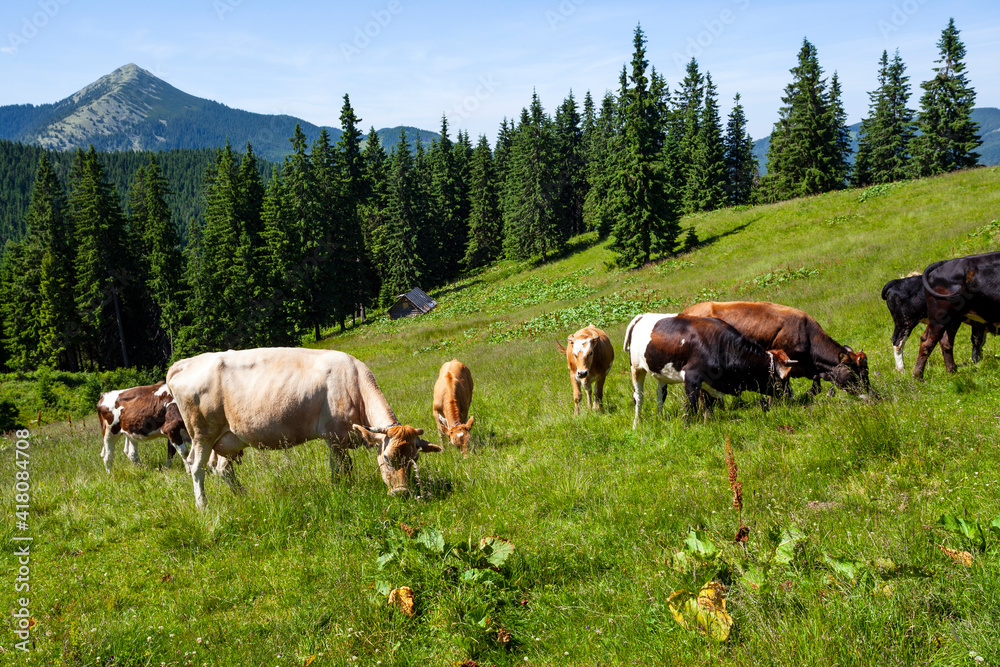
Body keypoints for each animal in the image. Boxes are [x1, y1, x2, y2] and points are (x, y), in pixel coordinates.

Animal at [166, 348, 440, 508]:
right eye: (387, 457)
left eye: (414, 459)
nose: (401, 493)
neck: (354, 383)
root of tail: (186, 363)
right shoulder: (334, 435)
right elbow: (341, 467)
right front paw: (342, 490)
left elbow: (342, 466)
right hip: (201, 434)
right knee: (196, 467)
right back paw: (203, 507)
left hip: (229, 439)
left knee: (223, 469)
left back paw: (242, 497)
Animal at [624, 314, 796, 428]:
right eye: (785, 377)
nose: (791, 395)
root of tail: (642, 315)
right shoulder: (692, 377)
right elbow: (692, 404)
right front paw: (687, 426)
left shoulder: (710, 381)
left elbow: (708, 404)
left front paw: (708, 422)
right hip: (636, 367)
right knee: (638, 397)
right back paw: (636, 424)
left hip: (661, 373)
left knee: (661, 395)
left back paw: (659, 417)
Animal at [916, 250, 1000, 378]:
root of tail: (944, 263)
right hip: (939, 317)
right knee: (927, 342)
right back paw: (918, 377)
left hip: (952, 319)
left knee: (945, 341)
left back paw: (952, 372)